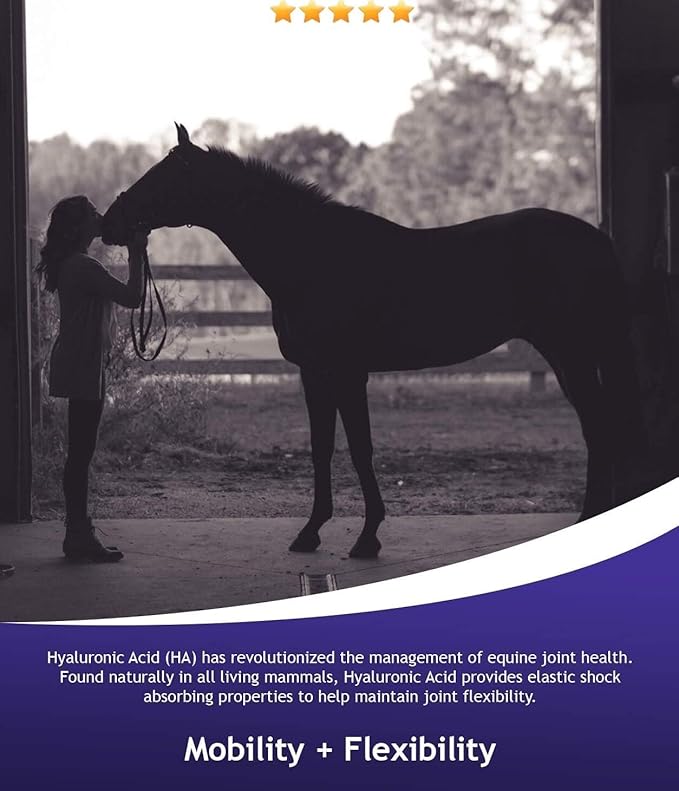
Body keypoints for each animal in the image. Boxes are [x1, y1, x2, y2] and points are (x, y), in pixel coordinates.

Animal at [102, 123, 644, 559]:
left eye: (163, 176)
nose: (109, 223)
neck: (313, 256)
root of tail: (596, 239)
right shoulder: (313, 373)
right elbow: (322, 448)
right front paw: (311, 533)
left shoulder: (348, 372)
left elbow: (360, 449)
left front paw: (367, 538)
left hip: (571, 353)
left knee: (600, 427)